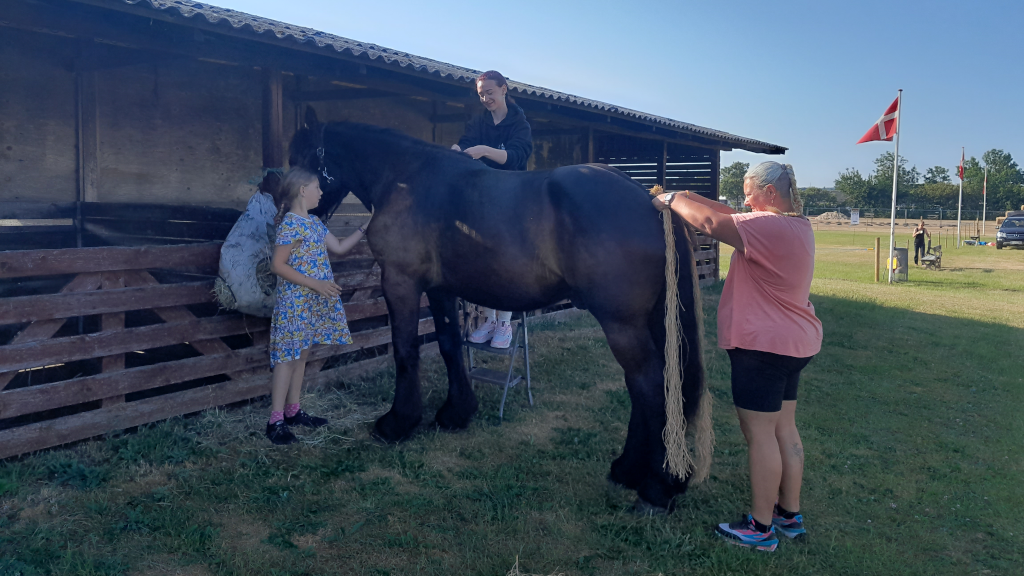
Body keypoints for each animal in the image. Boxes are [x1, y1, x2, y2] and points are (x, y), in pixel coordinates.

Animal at [289, 107, 709, 511]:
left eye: (300, 157)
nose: (287, 211)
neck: (406, 178)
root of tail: (650, 200)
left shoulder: (401, 283)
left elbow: (405, 351)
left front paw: (397, 423)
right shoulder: (440, 290)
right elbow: (449, 345)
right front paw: (455, 413)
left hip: (622, 324)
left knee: (649, 384)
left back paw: (656, 488)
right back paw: (628, 470)